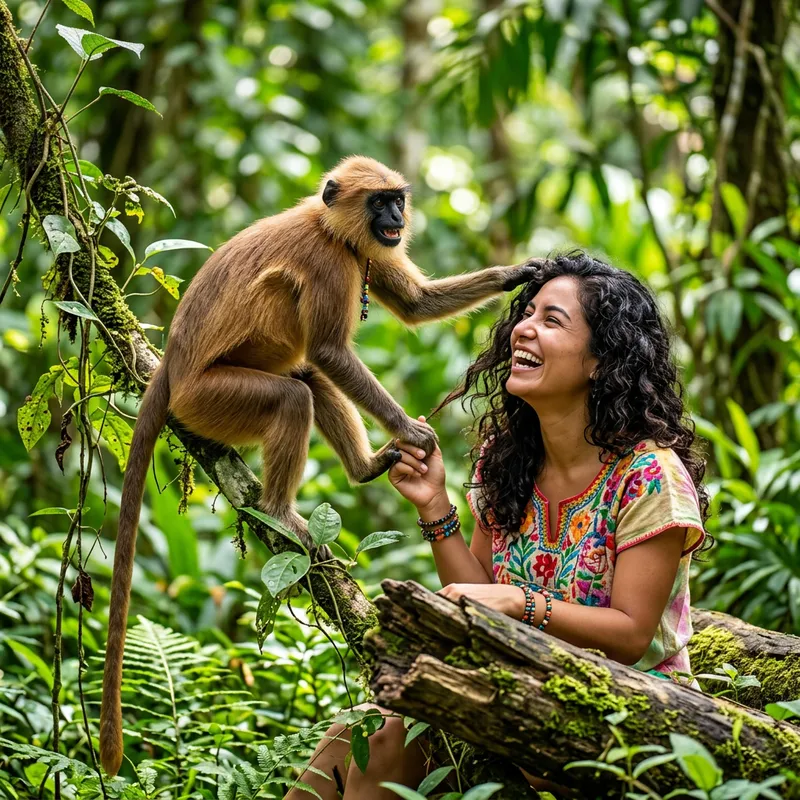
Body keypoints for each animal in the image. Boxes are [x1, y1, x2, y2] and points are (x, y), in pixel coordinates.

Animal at [99, 155, 543, 775]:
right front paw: (409, 431)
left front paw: (522, 272)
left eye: (396, 200)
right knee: (296, 391)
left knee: (306, 376)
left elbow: (414, 305)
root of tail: (171, 372)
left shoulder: (360, 252)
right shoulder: (331, 261)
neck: (330, 227)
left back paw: (363, 468)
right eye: (380, 202)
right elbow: (334, 351)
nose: (396, 218)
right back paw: (281, 512)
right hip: (209, 401)